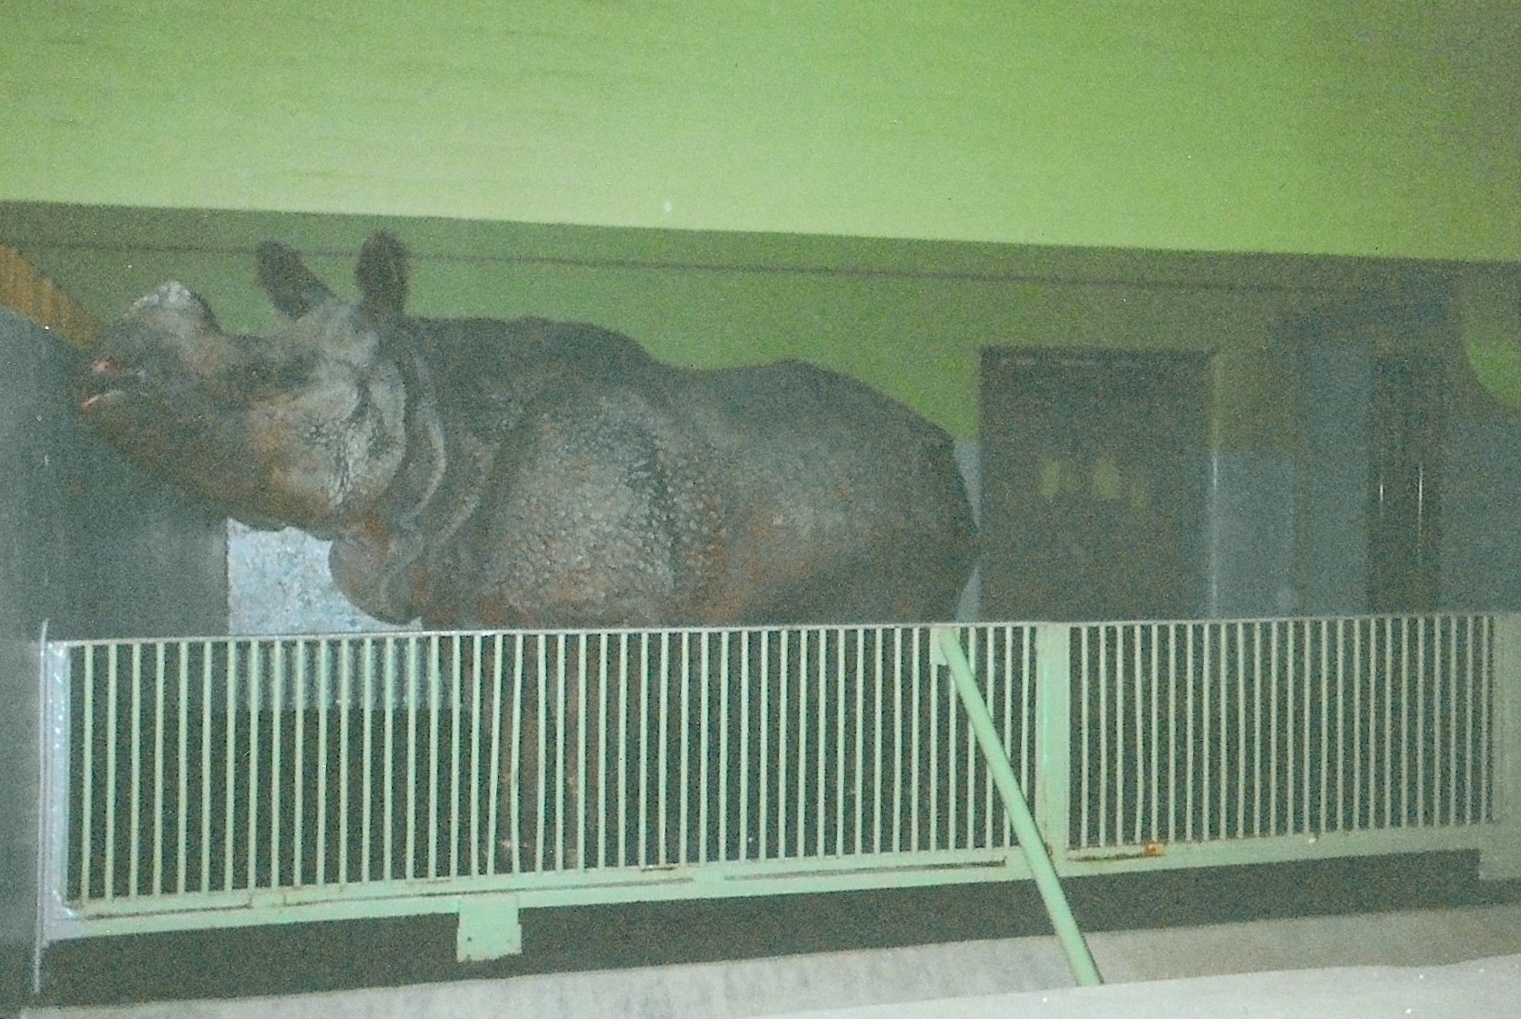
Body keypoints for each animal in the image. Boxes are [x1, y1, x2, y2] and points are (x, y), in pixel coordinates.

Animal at [80, 232, 976, 630]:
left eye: (266, 375)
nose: (101, 367)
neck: (433, 412)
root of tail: (935, 440)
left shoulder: (595, 609)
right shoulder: (457, 602)